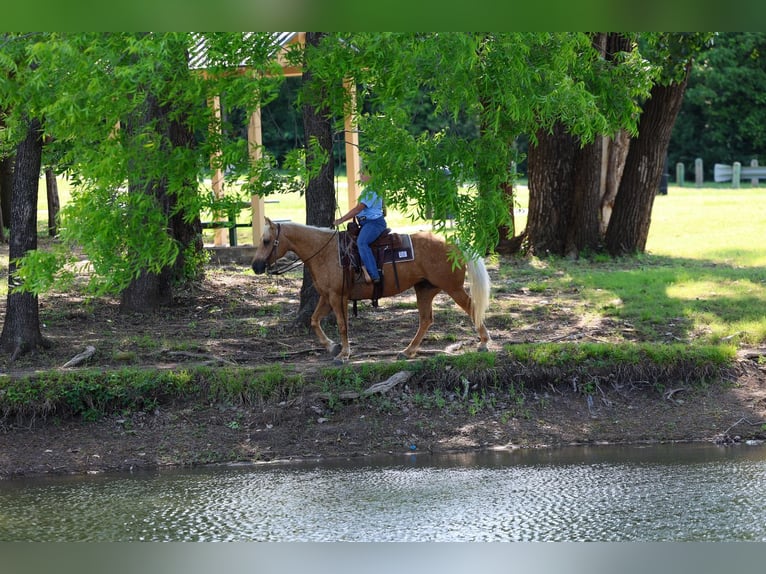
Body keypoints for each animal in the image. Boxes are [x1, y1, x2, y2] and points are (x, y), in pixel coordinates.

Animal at [251, 218, 491, 363]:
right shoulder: (327, 297)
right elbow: (314, 320)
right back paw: (408, 351)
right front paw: (331, 347)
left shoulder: (337, 297)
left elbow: (342, 325)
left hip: (453, 288)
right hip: (424, 289)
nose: (255, 266)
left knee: (472, 308)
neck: (325, 252)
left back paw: (484, 343)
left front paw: (344, 354)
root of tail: (454, 242)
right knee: (426, 320)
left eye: (266, 241)